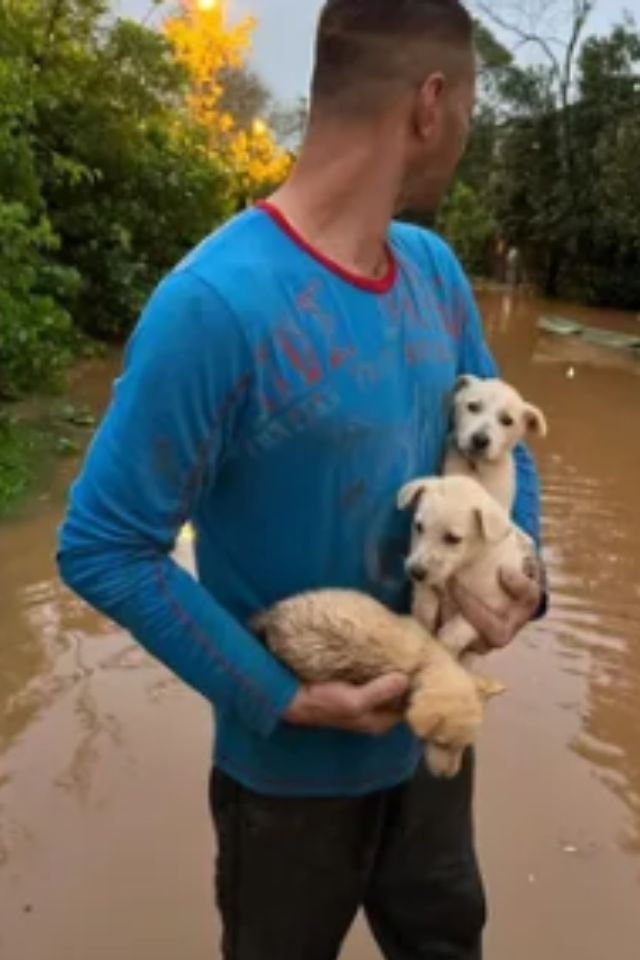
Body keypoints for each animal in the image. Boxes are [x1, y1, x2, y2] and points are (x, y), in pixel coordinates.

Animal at [398, 478, 536, 664]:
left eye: (453, 538)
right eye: (418, 527)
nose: (415, 572)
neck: (465, 566)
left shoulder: (495, 602)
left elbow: (460, 627)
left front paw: (443, 647)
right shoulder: (426, 585)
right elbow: (424, 605)